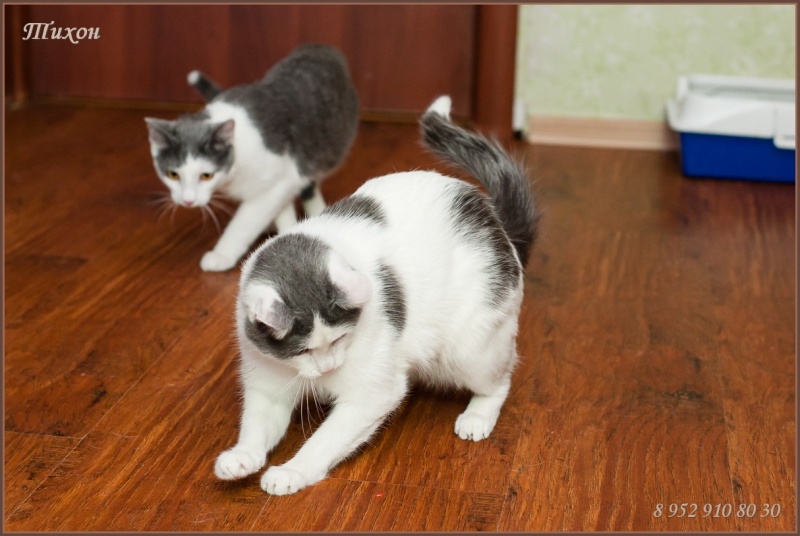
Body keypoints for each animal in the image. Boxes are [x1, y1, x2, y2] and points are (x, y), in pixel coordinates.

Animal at [144, 44, 359, 272]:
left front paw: (221, 255)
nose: (187, 201)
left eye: (206, 175)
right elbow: (281, 210)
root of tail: (319, 47)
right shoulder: (280, 183)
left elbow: (244, 222)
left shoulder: (279, 181)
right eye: (173, 174)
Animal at [214, 96, 538, 495]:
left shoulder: (371, 396)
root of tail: (498, 224)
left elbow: (323, 441)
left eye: (340, 339)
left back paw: (477, 416)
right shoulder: (267, 383)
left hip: (469, 348)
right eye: (302, 351)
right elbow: (257, 427)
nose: (328, 368)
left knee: (502, 377)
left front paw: (292, 472)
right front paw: (242, 457)